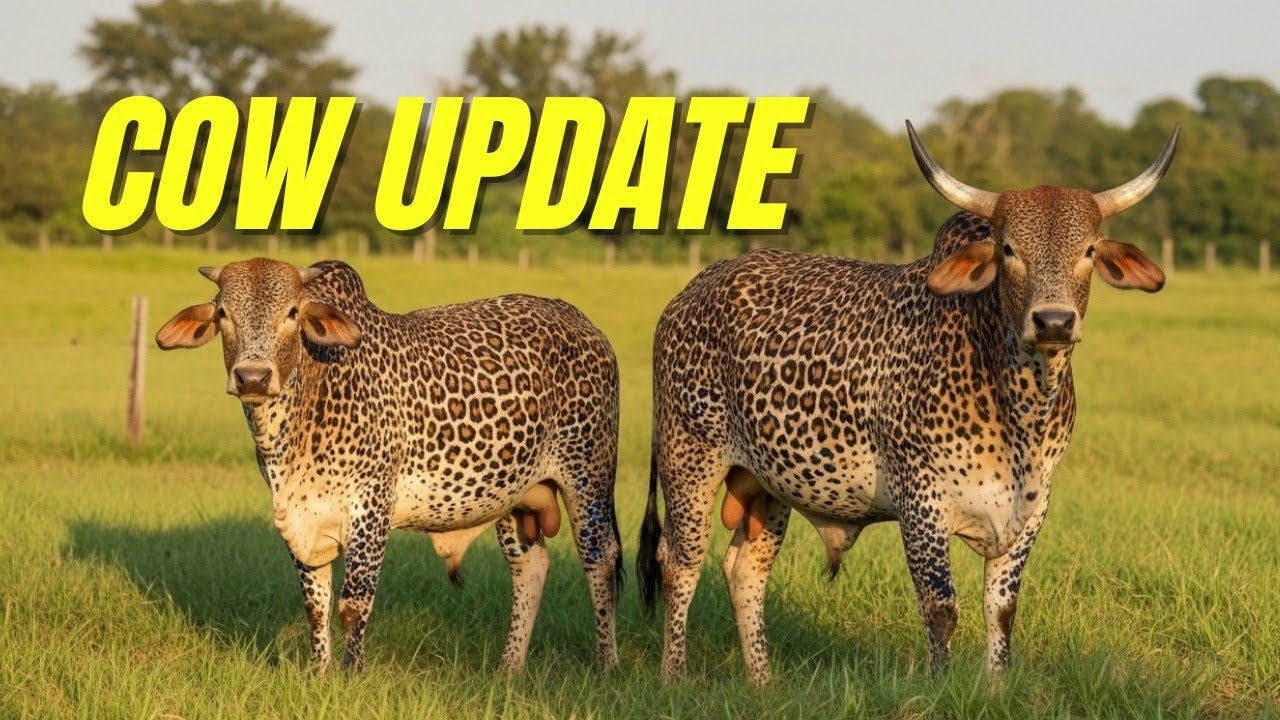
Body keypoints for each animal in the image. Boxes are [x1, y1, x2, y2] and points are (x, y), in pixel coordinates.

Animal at [155, 259, 622, 674]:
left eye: (292, 312)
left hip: (588, 477)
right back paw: (509, 667)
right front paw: (320, 675)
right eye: (223, 314)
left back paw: (607, 665)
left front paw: (351, 675)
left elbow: (352, 604)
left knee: (601, 559)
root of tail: (579, 319)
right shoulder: (299, 516)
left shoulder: (371, 508)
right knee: (530, 567)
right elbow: (315, 606)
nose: (252, 377)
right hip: (511, 494)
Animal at [636, 121, 1179, 685]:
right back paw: (673, 675)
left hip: (768, 484)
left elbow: (1001, 610)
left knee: (745, 571)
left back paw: (762, 684)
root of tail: (690, 292)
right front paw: (941, 688)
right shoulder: (921, 502)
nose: (1054, 321)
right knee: (678, 563)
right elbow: (941, 609)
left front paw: (996, 688)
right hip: (689, 462)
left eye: (1089, 250)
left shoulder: (1030, 509)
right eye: (1008, 249)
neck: (1019, 408)